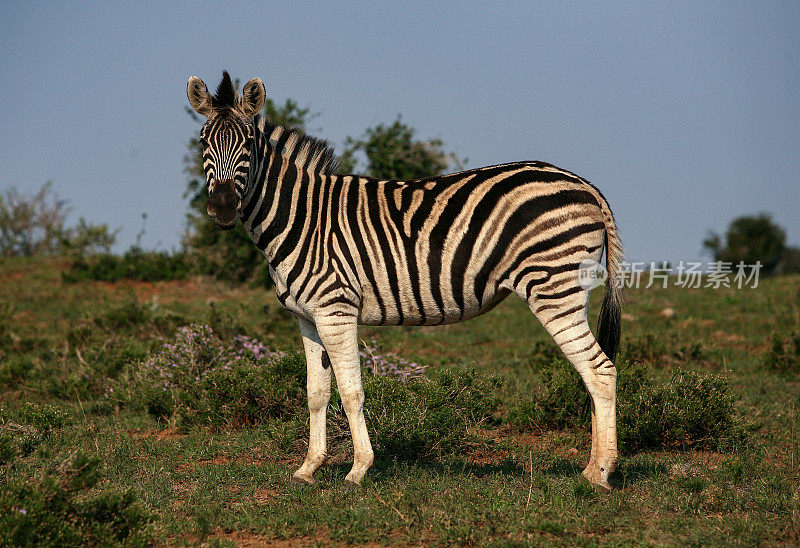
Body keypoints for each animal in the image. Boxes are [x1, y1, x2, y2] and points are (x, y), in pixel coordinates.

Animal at [188, 73, 624, 492]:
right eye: (203, 142)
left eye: (247, 144)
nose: (223, 208)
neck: (301, 217)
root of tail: (585, 185)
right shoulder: (307, 317)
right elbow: (316, 393)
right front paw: (309, 468)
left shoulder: (335, 309)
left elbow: (351, 391)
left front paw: (359, 469)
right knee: (593, 374)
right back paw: (594, 468)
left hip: (553, 288)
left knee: (600, 370)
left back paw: (599, 473)